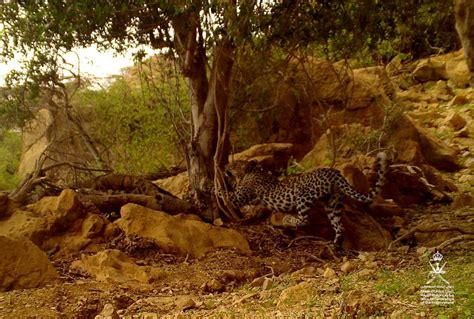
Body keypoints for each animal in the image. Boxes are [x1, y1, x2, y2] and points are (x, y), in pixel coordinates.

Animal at [217, 153, 386, 248]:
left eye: (235, 164)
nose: (225, 166)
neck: (251, 172)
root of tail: (334, 173)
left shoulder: (240, 196)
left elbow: (225, 193)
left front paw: (212, 184)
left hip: (303, 196)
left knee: (305, 219)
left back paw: (287, 219)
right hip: (333, 203)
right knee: (340, 226)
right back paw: (335, 245)